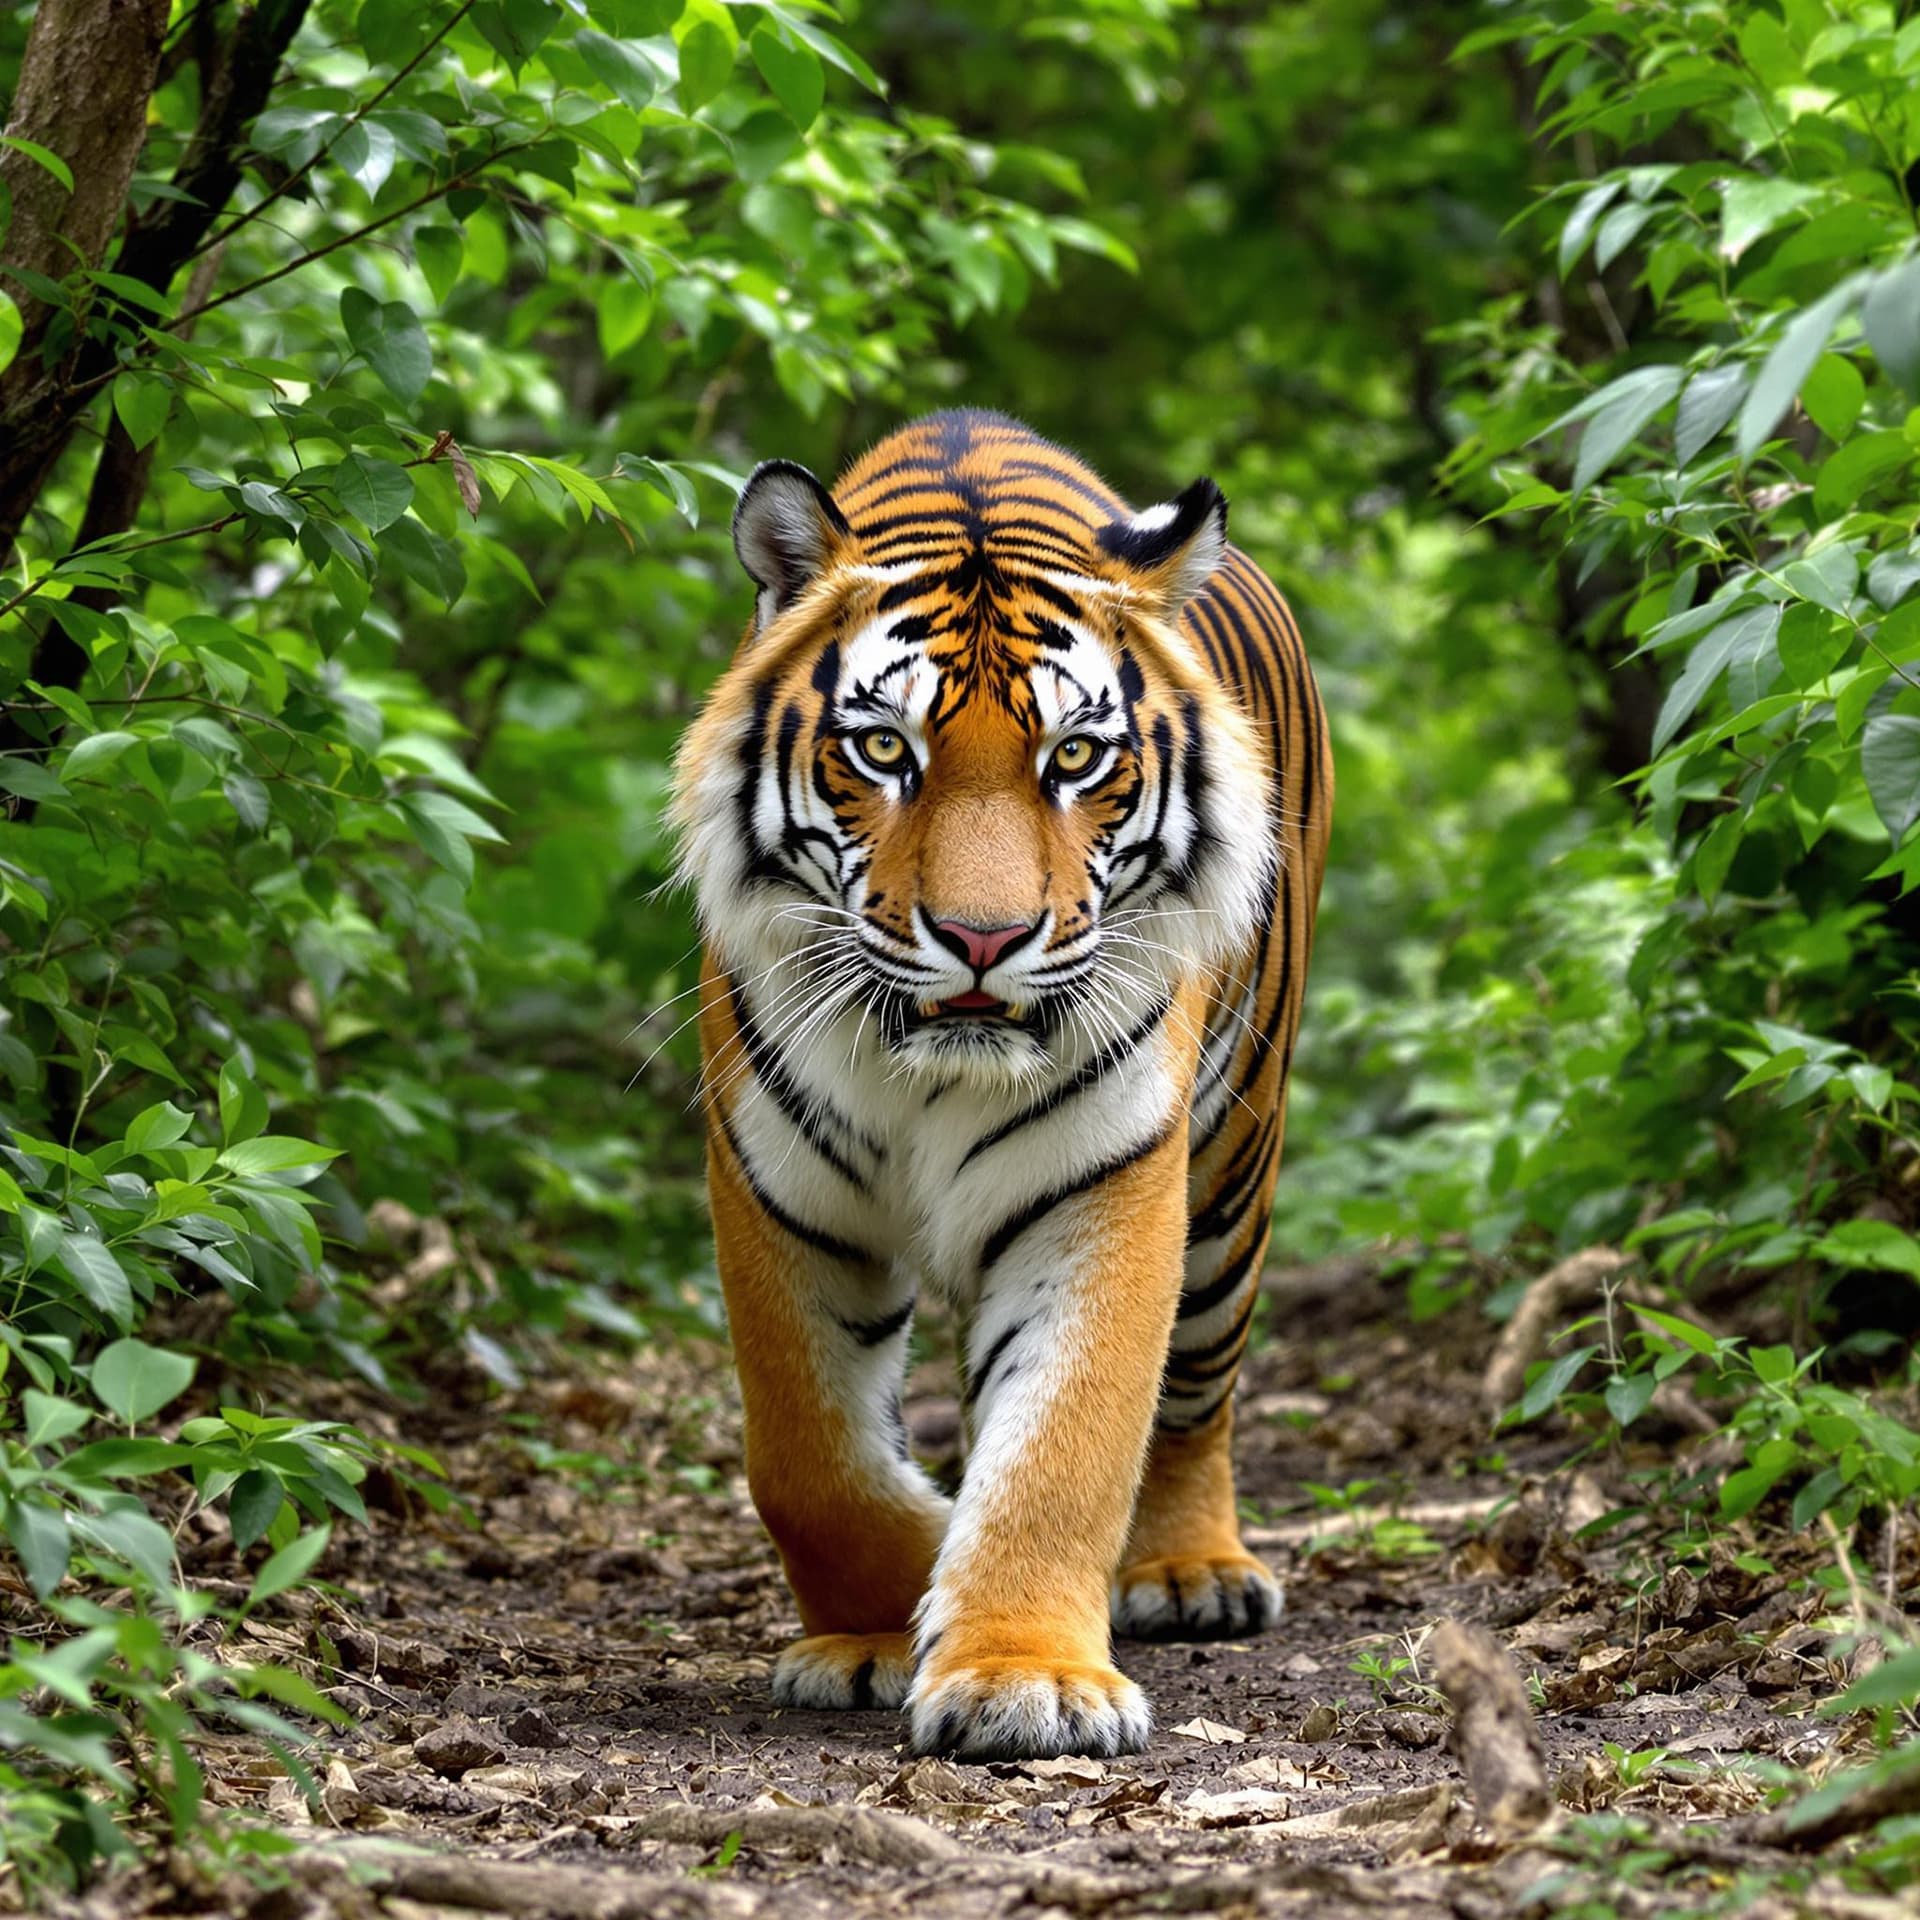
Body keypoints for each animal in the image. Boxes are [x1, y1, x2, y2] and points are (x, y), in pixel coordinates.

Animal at [669, 410, 1331, 1760]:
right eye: (884, 748)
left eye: (1074, 757)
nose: (985, 938)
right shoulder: (773, 1189)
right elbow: (806, 1459)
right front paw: (884, 1617)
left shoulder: (1106, 1185)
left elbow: (1067, 1445)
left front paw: (1025, 1677)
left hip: (1234, 1177)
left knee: (1198, 1394)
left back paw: (1190, 1572)